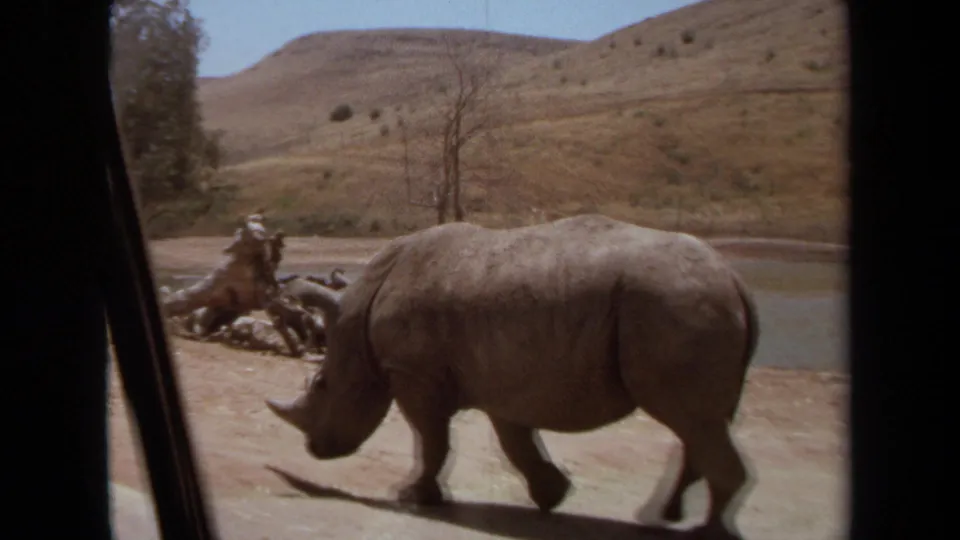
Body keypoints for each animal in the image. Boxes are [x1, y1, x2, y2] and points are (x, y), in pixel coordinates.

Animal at [265, 214, 760, 540]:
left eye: (322, 386)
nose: (314, 449)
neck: (359, 314)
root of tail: (735, 279)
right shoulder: (502, 376)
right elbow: (514, 441)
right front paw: (551, 496)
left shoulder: (414, 374)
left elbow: (432, 439)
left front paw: (412, 496)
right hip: (681, 305)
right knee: (699, 423)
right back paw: (664, 515)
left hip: (674, 304)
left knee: (691, 419)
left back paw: (707, 534)